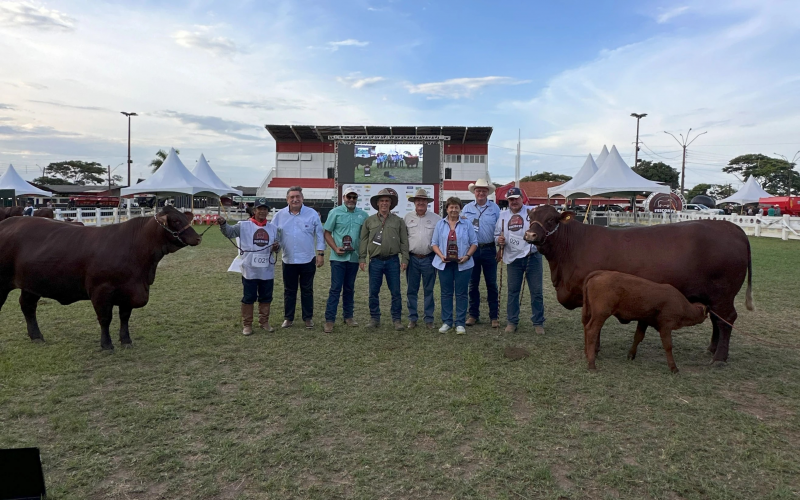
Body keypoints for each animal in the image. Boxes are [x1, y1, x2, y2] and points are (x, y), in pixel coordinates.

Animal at [0, 205, 200, 350]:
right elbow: (105, 318)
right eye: (175, 220)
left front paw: (126, 341)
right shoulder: (100, 290)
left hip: (32, 284)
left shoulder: (129, 289)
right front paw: (107, 345)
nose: (198, 238)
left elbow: (124, 317)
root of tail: (7, 223)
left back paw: (37, 337)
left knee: (28, 306)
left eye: (185, 218)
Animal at [580, 272, 708, 374]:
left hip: (589, 313)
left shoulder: (643, 321)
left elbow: (638, 337)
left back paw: (587, 354)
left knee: (586, 328)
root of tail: (600, 274)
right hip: (600, 315)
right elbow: (668, 346)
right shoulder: (666, 327)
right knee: (591, 331)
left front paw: (631, 355)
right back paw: (591, 363)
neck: (682, 305)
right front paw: (673, 368)